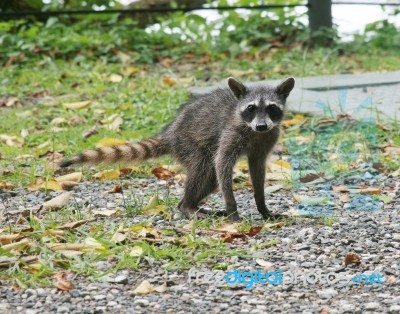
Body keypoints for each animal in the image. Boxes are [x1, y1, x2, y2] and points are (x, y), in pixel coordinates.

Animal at [61, 77, 296, 221]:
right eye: (251, 108)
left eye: (272, 108)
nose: (261, 125)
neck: (256, 132)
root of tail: (171, 132)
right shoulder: (232, 131)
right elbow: (222, 161)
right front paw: (232, 208)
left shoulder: (267, 139)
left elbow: (257, 170)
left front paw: (262, 206)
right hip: (190, 143)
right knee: (204, 169)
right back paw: (187, 206)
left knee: (210, 178)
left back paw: (190, 203)